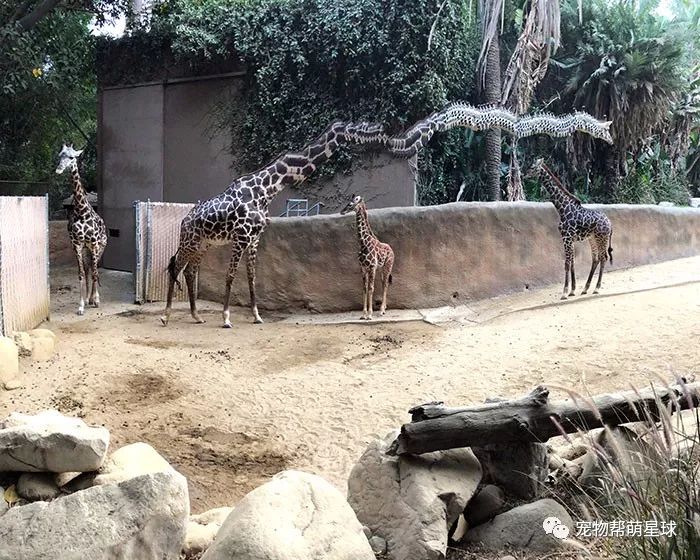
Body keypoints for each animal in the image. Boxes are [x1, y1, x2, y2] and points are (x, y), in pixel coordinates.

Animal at [54, 143, 107, 316]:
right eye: (60, 155)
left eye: (72, 157)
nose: (59, 169)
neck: (82, 212)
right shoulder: (77, 244)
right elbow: (81, 273)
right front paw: (81, 305)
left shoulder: (95, 244)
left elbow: (96, 272)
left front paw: (96, 300)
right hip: (86, 250)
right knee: (88, 268)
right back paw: (88, 299)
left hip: (99, 248)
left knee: (94, 269)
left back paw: (94, 298)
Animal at [161, 119, 386, 328]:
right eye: (362, 127)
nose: (381, 133)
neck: (265, 189)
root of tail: (184, 220)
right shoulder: (241, 237)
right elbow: (230, 275)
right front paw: (226, 318)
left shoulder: (254, 239)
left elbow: (252, 277)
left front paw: (257, 316)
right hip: (190, 241)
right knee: (175, 266)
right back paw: (166, 316)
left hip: (203, 244)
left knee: (189, 271)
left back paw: (196, 316)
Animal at [524, 158, 612, 300]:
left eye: (532, 167)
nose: (524, 175)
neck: (562, 208)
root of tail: (610, 222)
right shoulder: (569, 239)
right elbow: (572, 262)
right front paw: (572, 290)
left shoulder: (566, 237)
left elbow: (567, 263)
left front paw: (565, 292)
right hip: (592, 239)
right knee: (596, 259)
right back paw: (585, 288)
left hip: (601, 238)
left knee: (603, 257)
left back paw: (596, 288)